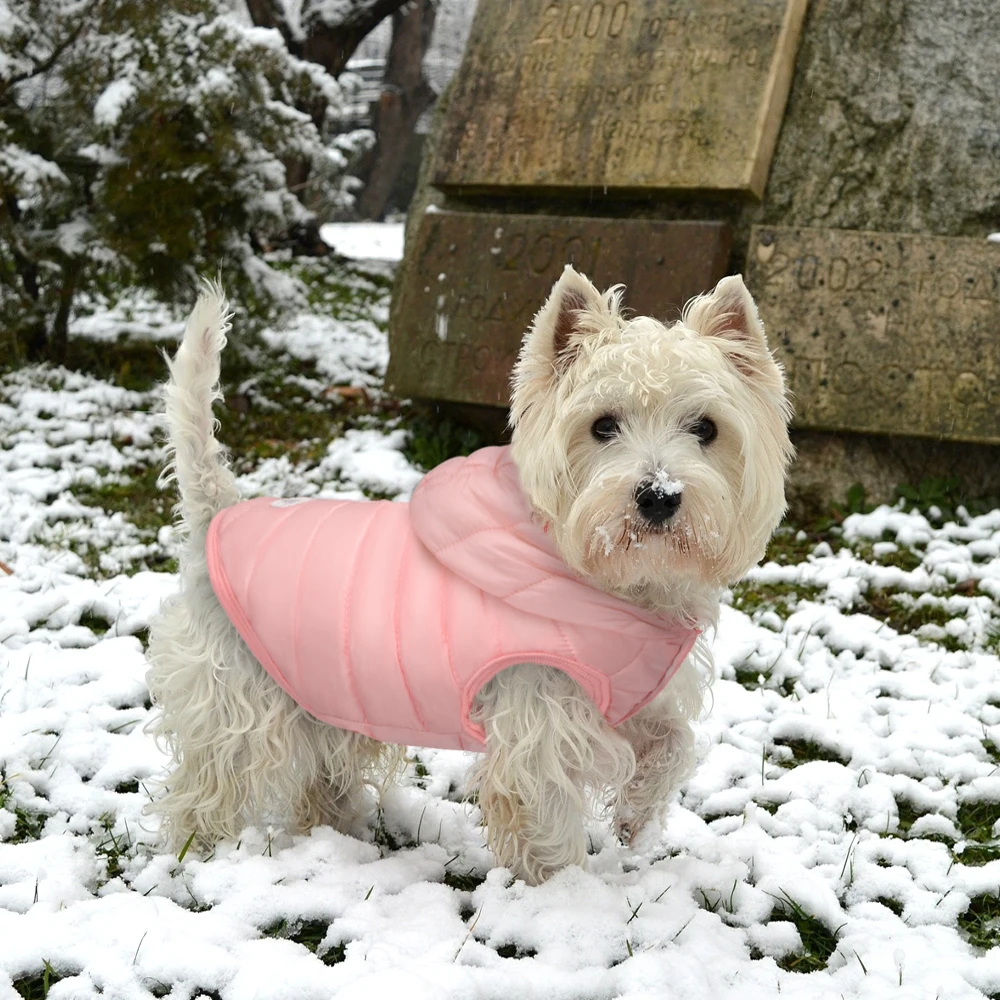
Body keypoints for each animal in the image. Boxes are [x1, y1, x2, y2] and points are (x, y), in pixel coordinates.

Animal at [145, 266, 792, 884]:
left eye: (706, 428)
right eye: (603, 425)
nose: (659, 496)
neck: (615, 584)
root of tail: (218, 515)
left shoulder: (631, 696)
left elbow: (675, 744)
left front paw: (636, 818)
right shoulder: (538, 717)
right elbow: (546, 815)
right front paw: (565, 892)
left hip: (325, 694)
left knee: (320, 777)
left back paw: (336, 833)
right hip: (237, 701)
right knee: (209, 785)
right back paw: (199, 853)